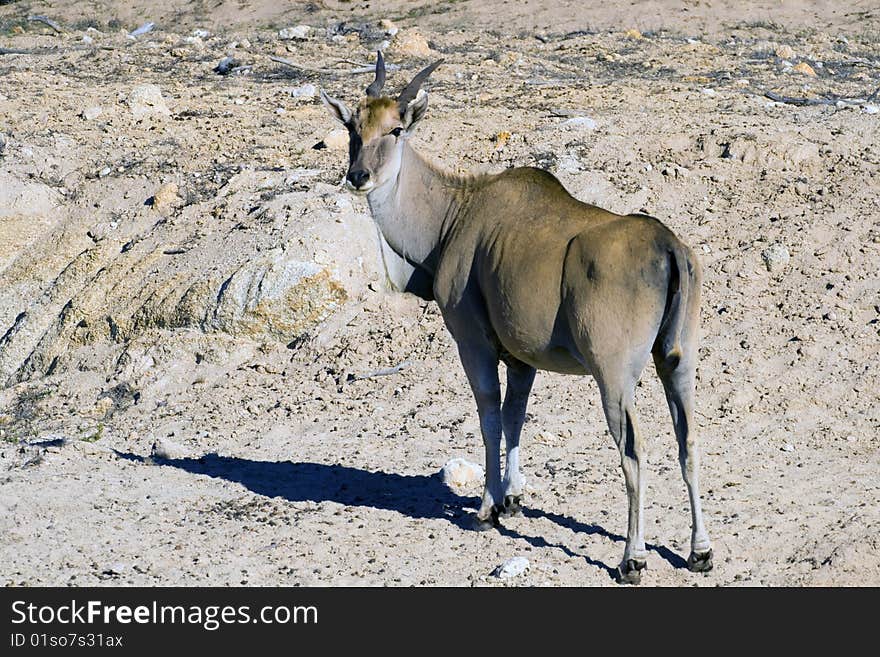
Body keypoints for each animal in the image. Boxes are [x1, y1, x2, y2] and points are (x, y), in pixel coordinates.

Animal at [324, 53, 716, 580]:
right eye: (353, 128)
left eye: (397, 129)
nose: (359, 176)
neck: (455, 213)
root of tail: (668, 247)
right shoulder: (523, 359)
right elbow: (516, 416)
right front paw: (511, 498)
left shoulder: (472, 342)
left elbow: (490, 415)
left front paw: (487, 507)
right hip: (678, 362)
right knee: (688, 441)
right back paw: (700, 551)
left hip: (614, 377)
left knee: (634, 451)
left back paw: (631, 558)